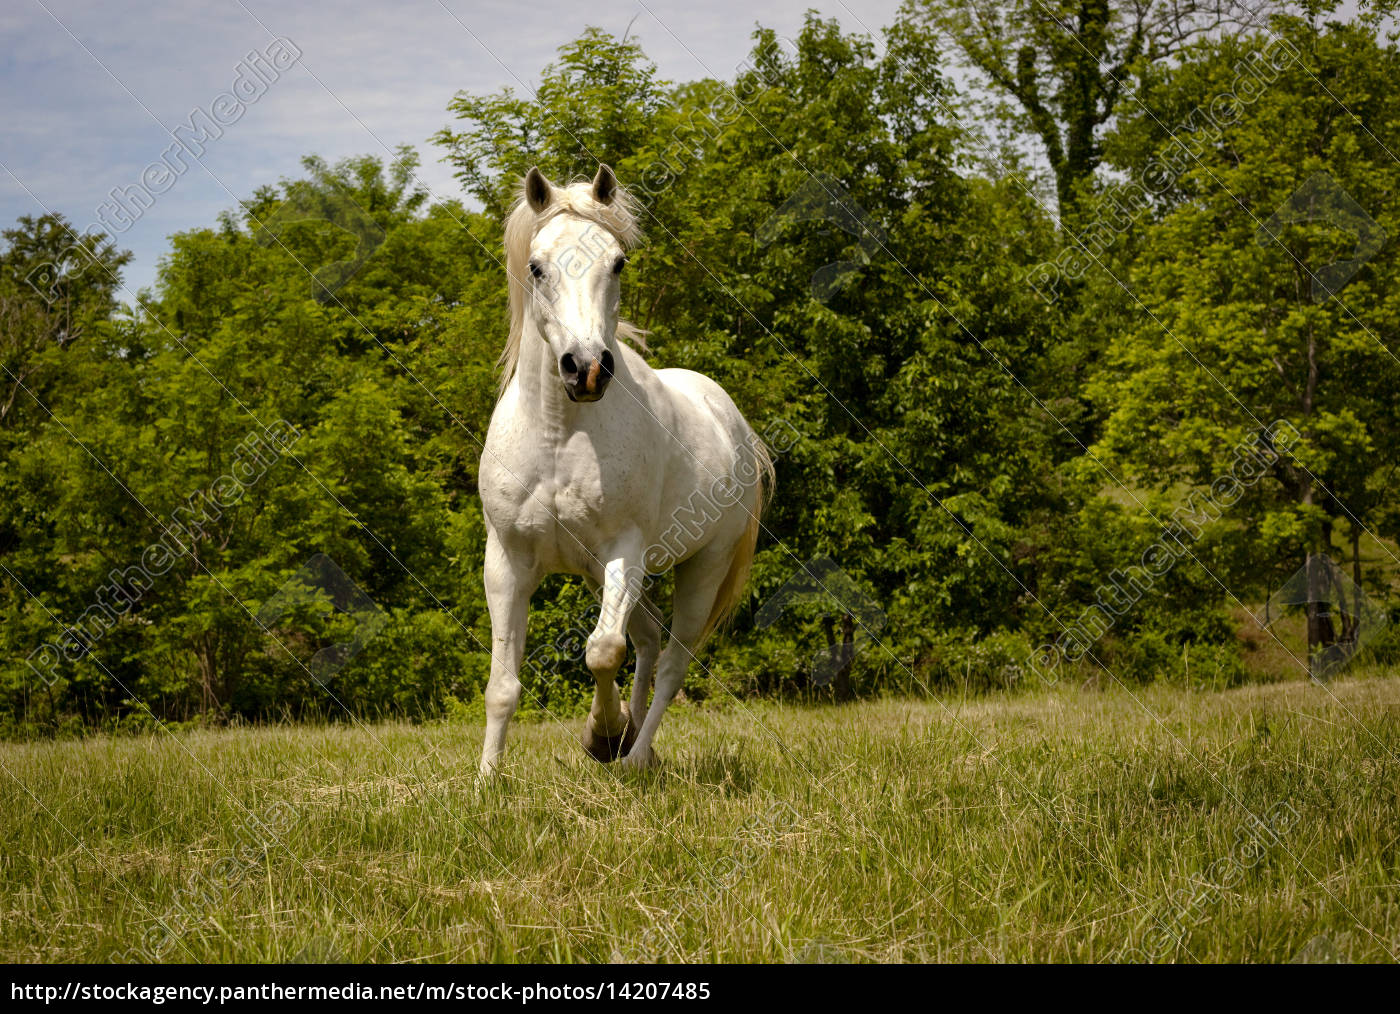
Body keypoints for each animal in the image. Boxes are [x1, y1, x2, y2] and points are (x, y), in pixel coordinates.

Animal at [476, 162, 772, 773]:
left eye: (617, 262)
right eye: (536, 267)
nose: (586, 369)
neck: (559, 435)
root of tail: (733, 423)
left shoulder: (623, 553)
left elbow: (601, 651)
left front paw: (602, 734)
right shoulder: (508, 560)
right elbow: (503, 685)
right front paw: (487, 780)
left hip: (702, 569)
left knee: (671, 662)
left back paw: (634, 756)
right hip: (601, 574)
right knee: (650, 639)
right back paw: (639, 746)